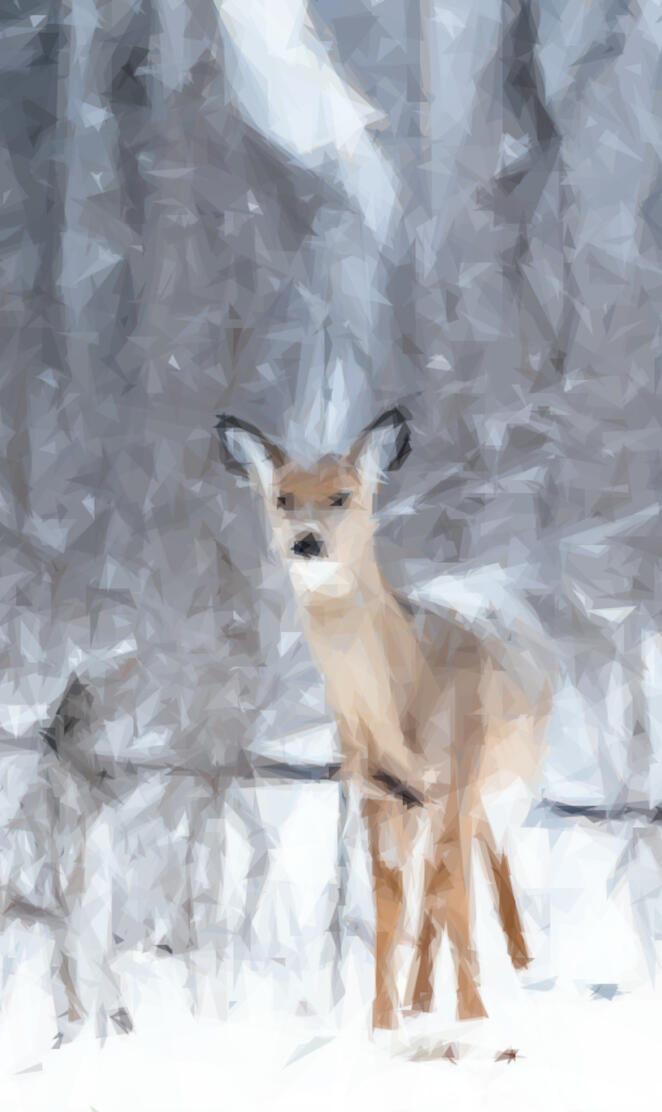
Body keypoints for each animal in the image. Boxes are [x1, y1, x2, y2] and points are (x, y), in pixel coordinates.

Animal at [216, 406, 548, 1031]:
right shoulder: (375, 790)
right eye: (282, 497)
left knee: (484, 861)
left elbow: (451, 896)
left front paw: (473, 1019)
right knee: (439, 883)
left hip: (505, 777)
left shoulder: (455, 776)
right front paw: (382, 1024)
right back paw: (423, 998)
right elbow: (389, 902)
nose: (306, 542)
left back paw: (521, 967)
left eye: (342, 495)